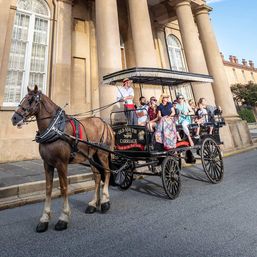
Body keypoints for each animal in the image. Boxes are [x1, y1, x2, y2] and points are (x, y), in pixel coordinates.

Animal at [11, 85, 114, 231]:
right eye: (23, 99)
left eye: (31, 100)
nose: (14, 118)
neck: (55, 129)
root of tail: (103, 122)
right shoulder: (47, 163)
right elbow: (48, 188)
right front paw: (44, 219)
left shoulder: (61, 164)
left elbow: (64, 188)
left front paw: (63, 218)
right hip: (91, 157)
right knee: (98, 177)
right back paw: (93, 204)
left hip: (102, 154)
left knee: (107, 172)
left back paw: (105, 202)